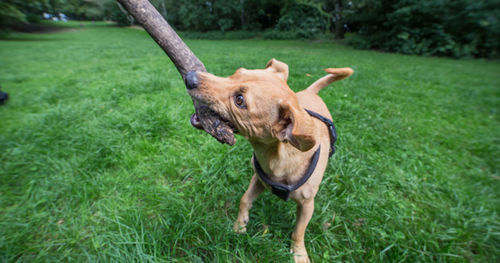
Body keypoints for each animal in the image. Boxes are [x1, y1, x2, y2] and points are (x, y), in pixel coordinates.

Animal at [187, 59, 352, 263]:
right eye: (236, 73)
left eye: (240, 100)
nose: (189, 77)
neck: (277, 155)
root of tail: (310, 92)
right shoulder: (258, 180)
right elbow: (244, 200)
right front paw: (240, 225)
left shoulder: (307, 205)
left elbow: (298, 232)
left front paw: (299, 252)